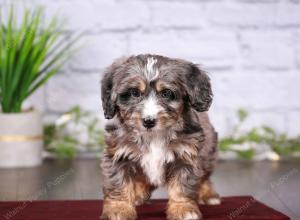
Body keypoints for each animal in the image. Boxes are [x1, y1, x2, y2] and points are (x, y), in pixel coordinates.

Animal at [101, 53, 220, 220]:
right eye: (134, 93)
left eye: (166, 93)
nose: (148, 121)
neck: (153, 136)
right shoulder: (118, 155)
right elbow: (119, 184)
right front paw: (119, 209)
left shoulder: (185, 156)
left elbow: (182, 186)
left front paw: (183, 209)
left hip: (209, 153)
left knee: (205, 177)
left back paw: (208, 195)